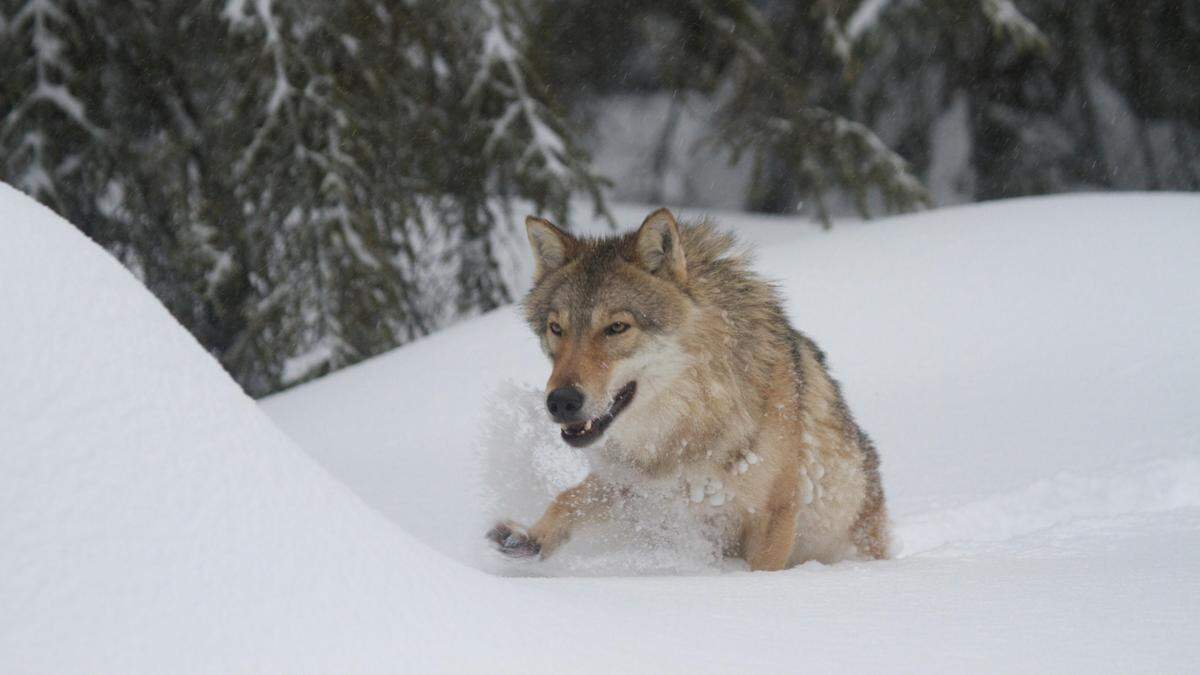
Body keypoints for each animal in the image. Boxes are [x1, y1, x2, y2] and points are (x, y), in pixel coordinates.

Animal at [482, 206, 888, 566]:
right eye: (557, 328)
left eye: (617, 327)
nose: (561, 401)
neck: (688, 424)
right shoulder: (635, 487)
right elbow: (570, 497)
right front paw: (530, 538)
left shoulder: (773, 517)